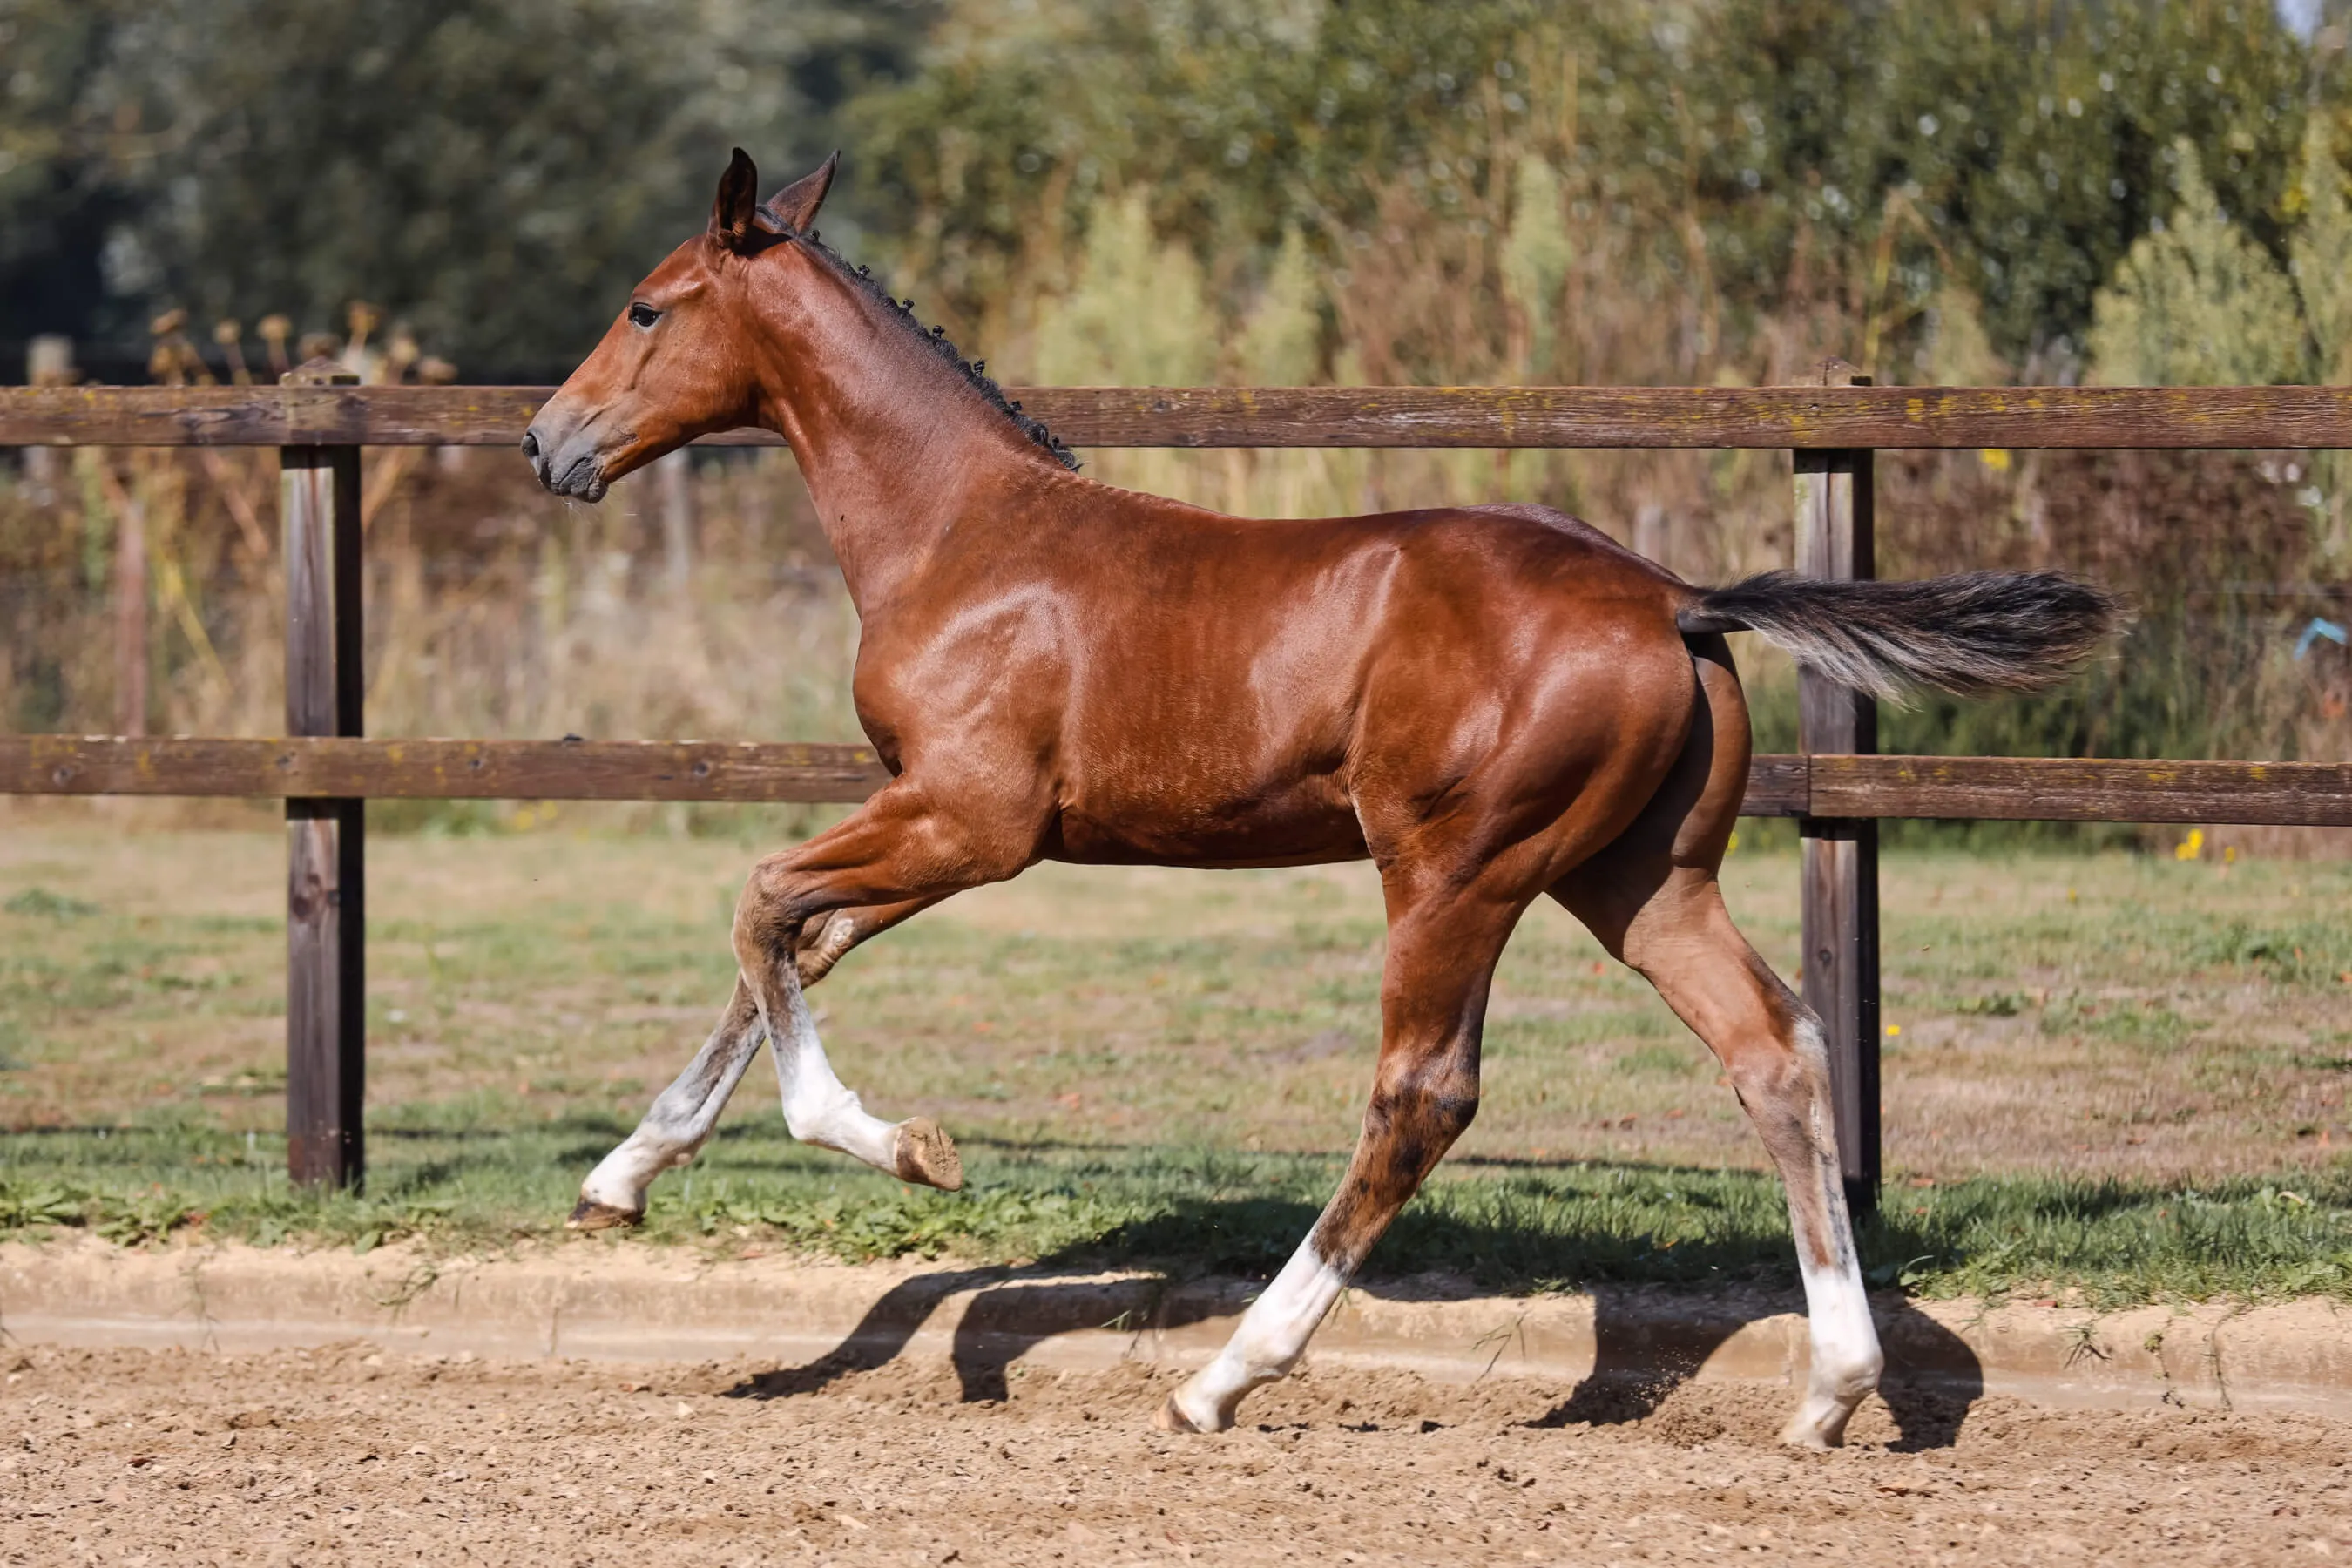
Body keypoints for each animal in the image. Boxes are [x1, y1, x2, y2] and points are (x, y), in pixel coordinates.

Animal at [524, 150, 2117, 1448]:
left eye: (649, 308)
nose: (548, 443)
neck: (962, 533)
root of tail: (1676, 601)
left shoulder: (973, 823)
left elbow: (764, 910)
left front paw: (903, 1150)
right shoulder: (924, 820)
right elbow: (790, 947)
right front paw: (622, 1177)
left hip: (1458, 874)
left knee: (1423, 1095)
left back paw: (1225, 1375)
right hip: (1641, 881)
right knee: (1775, 1049)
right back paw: (1832, 1392)